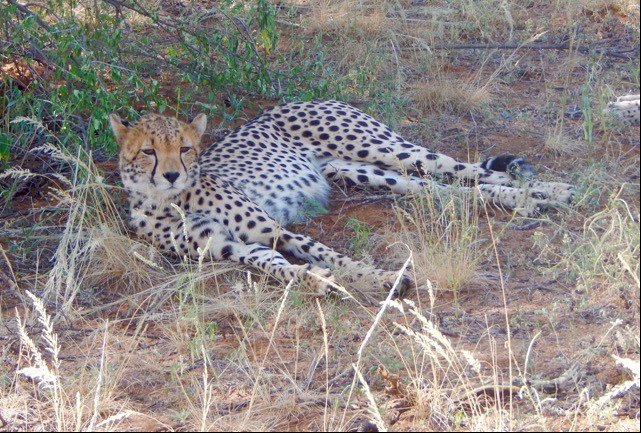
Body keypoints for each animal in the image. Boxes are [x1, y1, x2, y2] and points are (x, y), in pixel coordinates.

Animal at [107, 99, 572, 294]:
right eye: (148, 151)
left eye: (185, 148)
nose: (172, 174)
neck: (169, 200)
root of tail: (294, 99)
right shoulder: (227, 247)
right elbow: (280, 267)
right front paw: (319, 282)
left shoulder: (273, 229)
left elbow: (327, 253)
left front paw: (377, 278)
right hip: (367, 172)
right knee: (442, 189)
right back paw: (526, 199)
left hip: (380, 147)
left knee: (465, 168)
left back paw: (548, 191)